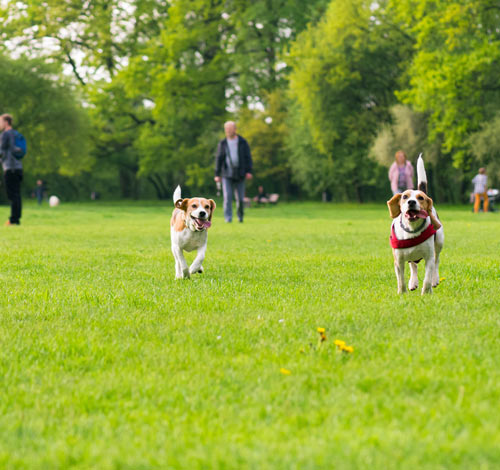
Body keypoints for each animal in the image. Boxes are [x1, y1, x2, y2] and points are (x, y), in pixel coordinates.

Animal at [386, 154, 446, 294]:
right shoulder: (398, 260)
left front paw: (426, 293)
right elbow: (401, 280)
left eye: (421, 198)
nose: (411, 202)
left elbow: (427, 279)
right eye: (404, 197)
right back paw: (413, 282)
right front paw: (402, 293)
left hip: (439, 242)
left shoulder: (429, 258)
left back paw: (435, 279)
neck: (412, 230)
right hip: (410, 256)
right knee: (413, 265)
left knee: (437, 260)